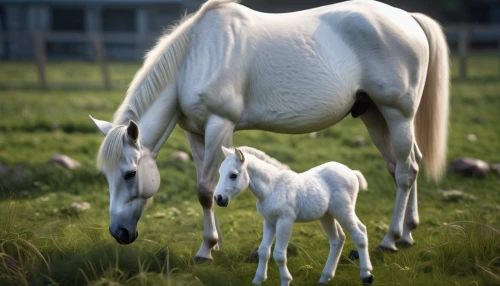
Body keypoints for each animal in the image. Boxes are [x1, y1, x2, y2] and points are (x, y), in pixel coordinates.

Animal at [89, 0, 450, 262]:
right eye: (105, 175)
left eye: (130, 173)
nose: (118, 233)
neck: (195, 57)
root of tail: (408, 19)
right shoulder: (196, 133)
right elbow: (208, 189)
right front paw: (214, 244)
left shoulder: (220, 125)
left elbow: (206, 189)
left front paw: (206, 249)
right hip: (374, 115)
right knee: (405, 165)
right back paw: (407, 233)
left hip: (397, 114)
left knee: (405, 171)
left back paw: (390, 240)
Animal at [213, 146, 374, 284]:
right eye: (219, 173)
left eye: (233, 175)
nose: (218, 198)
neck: (272, 188)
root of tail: (352, 172)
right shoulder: (269, 221)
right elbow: (264, 250)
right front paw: (258, 280)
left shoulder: (285, 221)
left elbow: (279, 254)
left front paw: (286, 280)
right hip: (327, 215)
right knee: (338, 239)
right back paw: (325, 277)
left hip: (344, 210)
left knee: (359, 233)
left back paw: (366, 275)